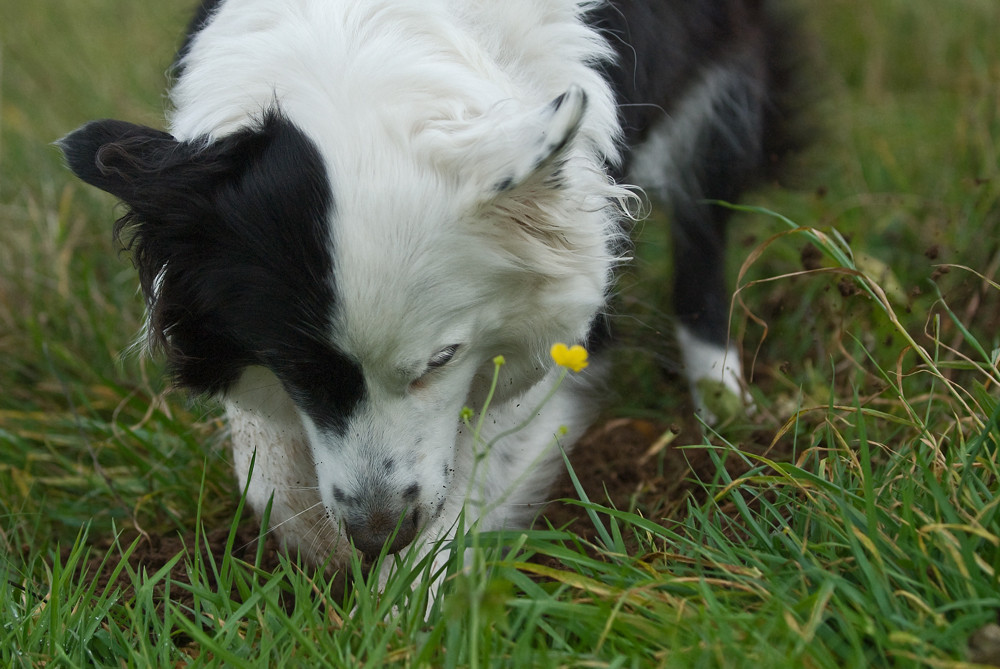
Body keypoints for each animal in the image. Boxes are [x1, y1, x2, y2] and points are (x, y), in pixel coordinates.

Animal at [60, 0, 796, 580]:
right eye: (294, 369)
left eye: (440, 360)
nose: (378, 534)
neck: (356, 55)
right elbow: (266, 470)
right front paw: (321, 546)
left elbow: (483, 458)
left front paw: (405, 607)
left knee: (702, 230)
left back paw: (725, 405)